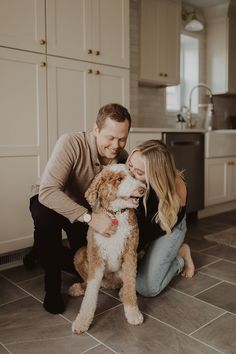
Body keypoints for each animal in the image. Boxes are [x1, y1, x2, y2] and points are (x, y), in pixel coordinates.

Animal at [68, 163, 146, 334]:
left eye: (133, 175)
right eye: (119, 179)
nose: (142, 189)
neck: (116, 214)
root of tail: (108, 284)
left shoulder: (130, 253)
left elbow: (130, 283)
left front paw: (133, 313)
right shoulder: (96, 255)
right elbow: (90, 294)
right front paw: (82, 321)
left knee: (126, 285)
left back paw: (122, 292)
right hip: (80, 253)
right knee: (89, 283)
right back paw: (79, 288)